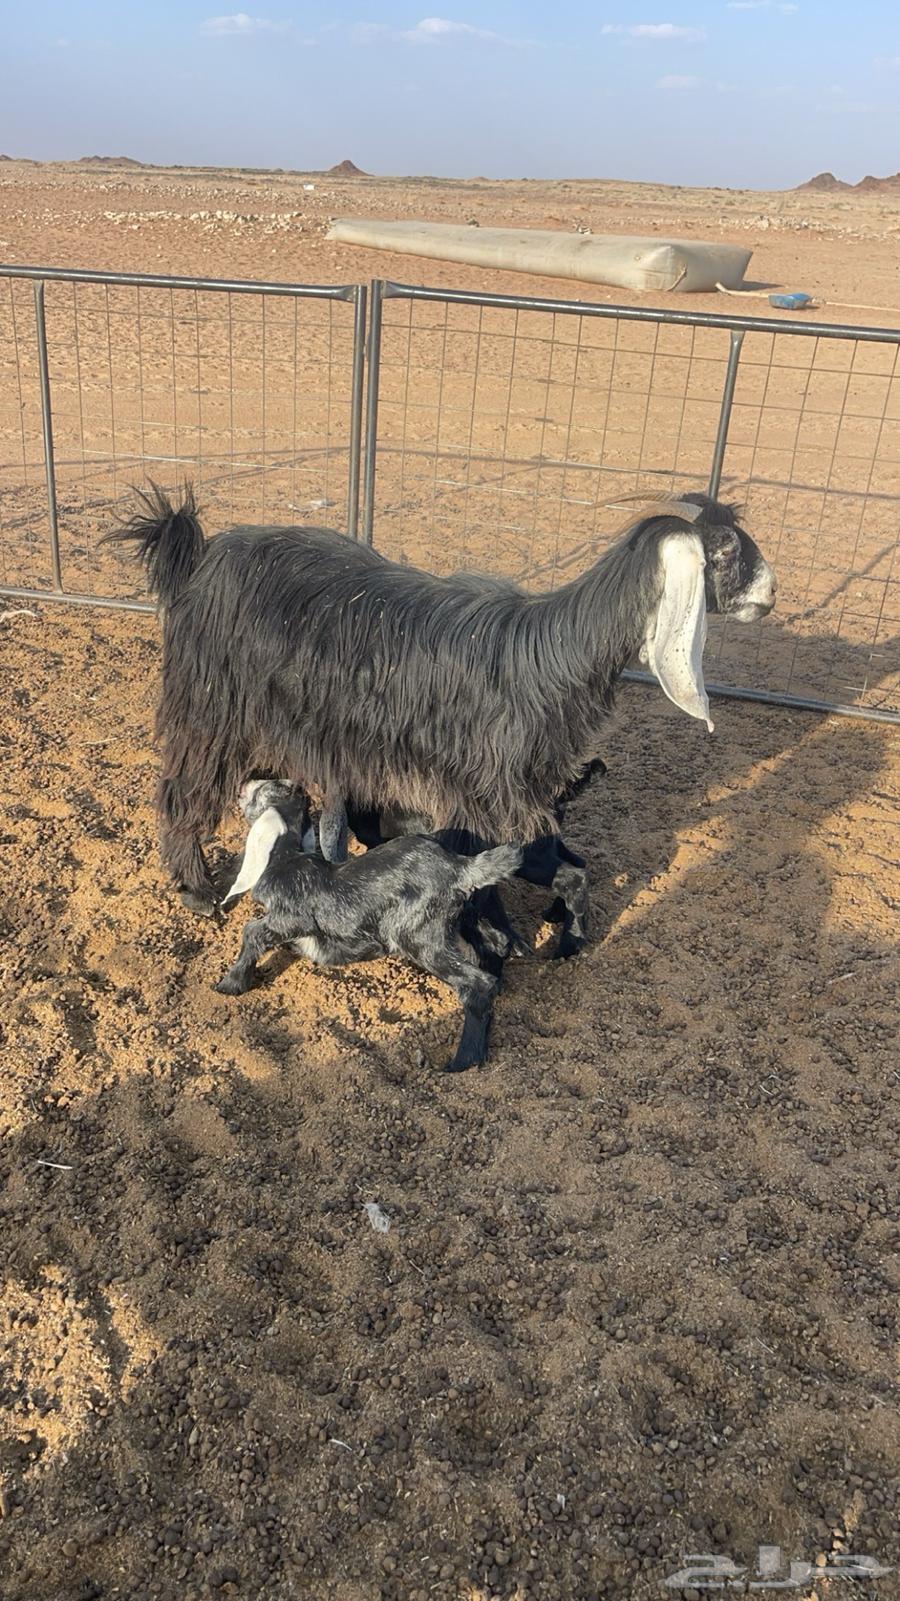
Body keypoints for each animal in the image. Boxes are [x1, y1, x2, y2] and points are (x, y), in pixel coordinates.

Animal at [106, 485, 775, 920]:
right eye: (722, 551)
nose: (771, 595)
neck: (547, 654)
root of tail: (201, 560)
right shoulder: (479, 791)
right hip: (209, 710)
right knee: (182, 789)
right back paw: (194, 888)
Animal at [217, 780, 523, 1073]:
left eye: (266, 788)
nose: (243, 785)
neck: (286, 857)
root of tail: (459, 867)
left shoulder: (288, 918)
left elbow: (252, 932)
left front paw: (231, 984)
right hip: (457, 917)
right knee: (496, 942)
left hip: (418, 936)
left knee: (479, 983)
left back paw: (464, 1061)